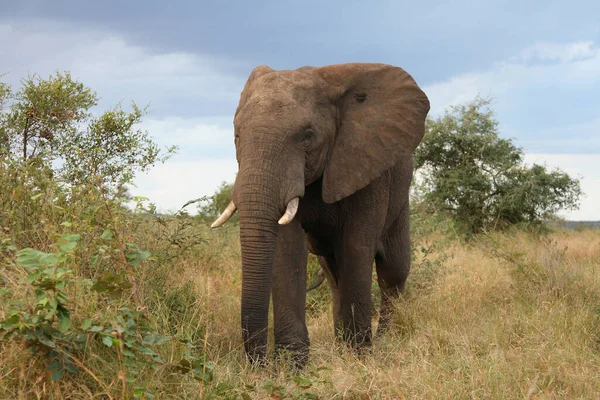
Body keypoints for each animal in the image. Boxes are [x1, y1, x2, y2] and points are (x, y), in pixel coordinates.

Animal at [213, 63, 428, 368]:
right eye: (237, 137)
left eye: (307, 136)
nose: (259, 364)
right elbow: (287, 249)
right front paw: (292, 365)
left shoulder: (365, 165)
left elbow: (356, 246)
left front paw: (359, 356)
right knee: (334, 272)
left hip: (400, 196)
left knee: (393, 270)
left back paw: (386, 339)